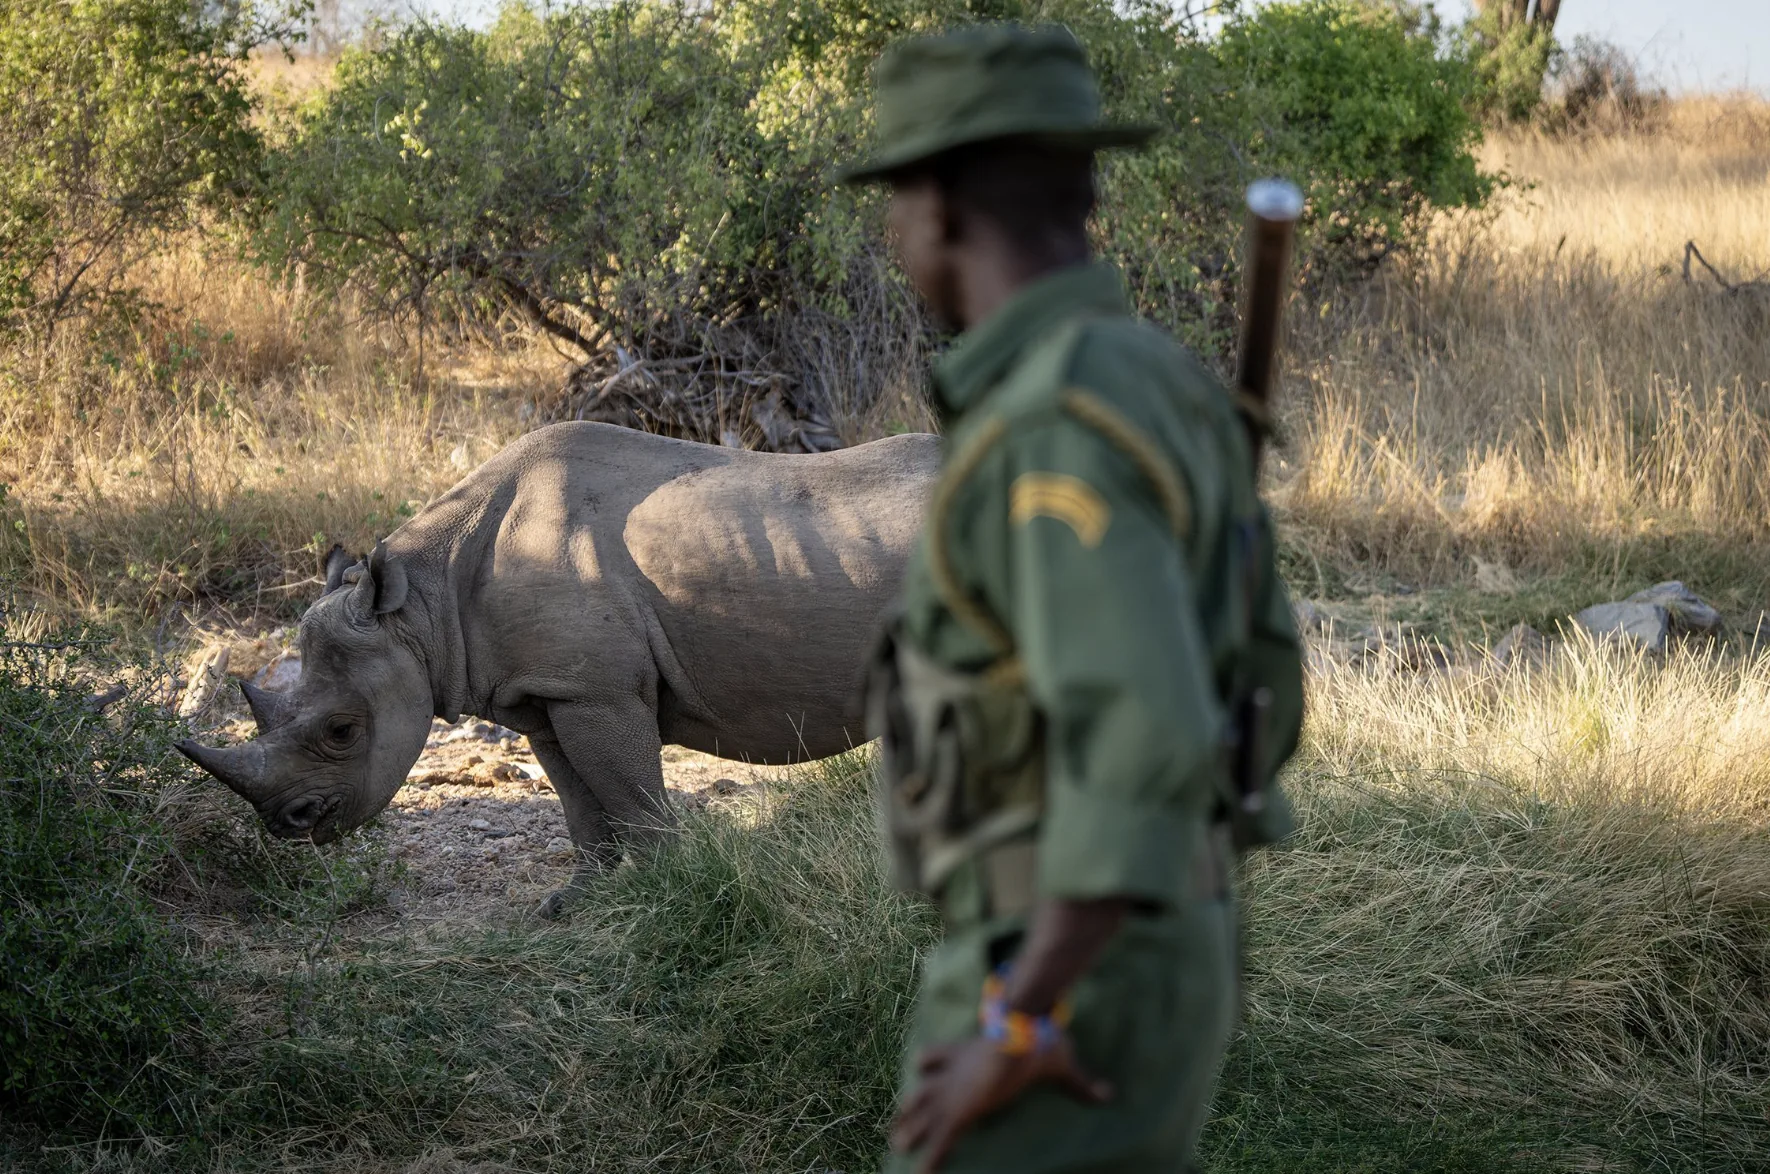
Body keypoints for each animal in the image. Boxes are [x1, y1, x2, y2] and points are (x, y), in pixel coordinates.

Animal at [177, 421, 938, 916]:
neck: (421, 609)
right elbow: (579, 804)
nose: (291, 823)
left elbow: (632, 797)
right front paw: (573, 902)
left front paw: (675, 894)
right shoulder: (546, 695)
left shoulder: (595, 691)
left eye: (341, 731)